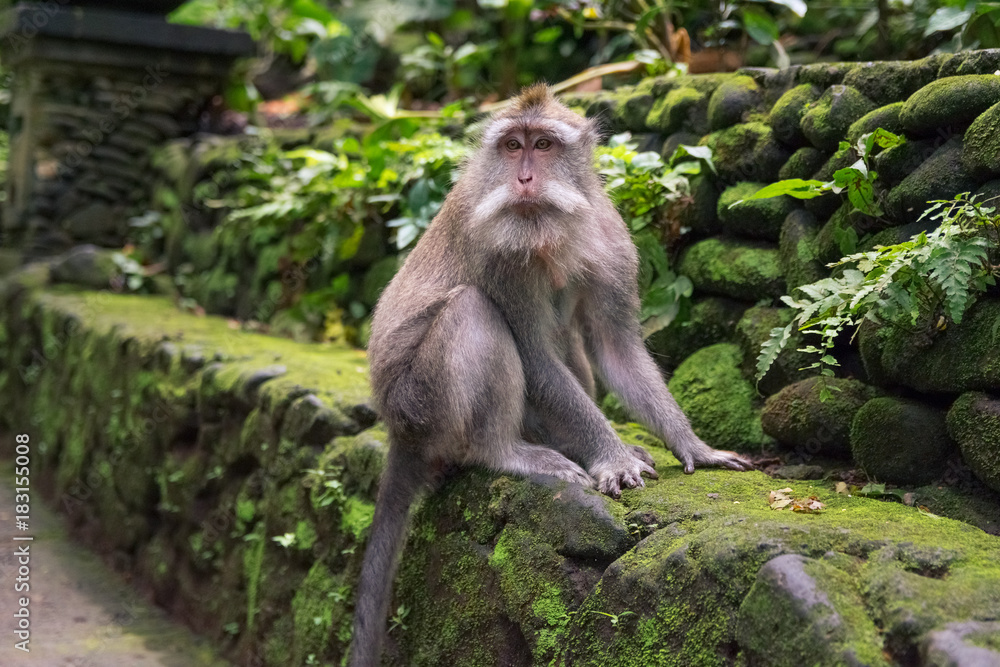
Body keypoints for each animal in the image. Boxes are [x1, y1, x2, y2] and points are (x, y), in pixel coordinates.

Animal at [348, 84, 752, 667]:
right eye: (512, 146)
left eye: (542, 145)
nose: (523, 180)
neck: (554, 230)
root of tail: (397, 430)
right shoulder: (502, 253)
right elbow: (535, 357)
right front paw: (612, 458)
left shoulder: (612, 238)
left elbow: (615, 347)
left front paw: (690, 445)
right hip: (420, 404)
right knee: (473, 311)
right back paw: (508, 452)